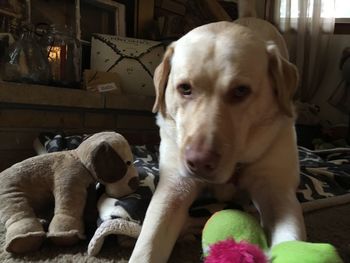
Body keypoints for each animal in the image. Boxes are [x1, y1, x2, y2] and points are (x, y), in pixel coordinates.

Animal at [130, 1, 304, 262]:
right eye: (185, 88)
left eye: (241, 91)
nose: (199, 163)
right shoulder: (173, 187)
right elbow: (148, 244)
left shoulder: (278, 192)